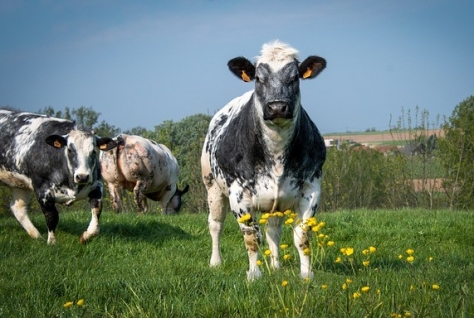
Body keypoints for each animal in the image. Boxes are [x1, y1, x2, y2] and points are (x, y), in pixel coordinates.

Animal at [0, 109, 117, 245]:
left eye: (94, 151)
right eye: (70, 150)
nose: (82, 177)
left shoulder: (97, 186)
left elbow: (96, 215)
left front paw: (85, 236)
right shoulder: (42, 190)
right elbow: (52, 216)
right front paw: (52, 243)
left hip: (19, 184)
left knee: (18, 208)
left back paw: (37, 236)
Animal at [200, 41, 326, 282]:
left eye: (295, 77)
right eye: (258, 78)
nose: (277, 107)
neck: (276, 153)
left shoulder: (311, 189)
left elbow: (302, 236)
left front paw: (306, 274)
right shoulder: (238, 195)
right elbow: (251, 237)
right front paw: (254, 274)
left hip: (274, 201)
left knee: (273, 231)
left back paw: (275, 265)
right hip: (212, 186)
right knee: (215, 224)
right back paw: (215, 262)